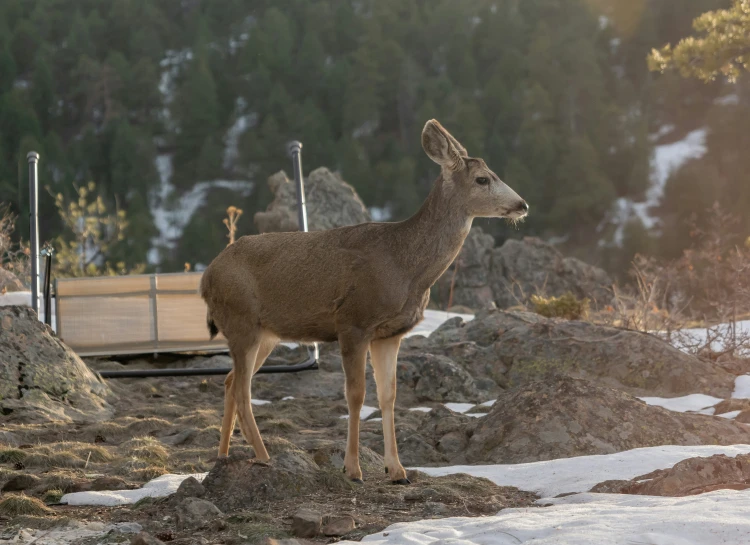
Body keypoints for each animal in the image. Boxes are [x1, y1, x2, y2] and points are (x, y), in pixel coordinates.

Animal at [200, 119, 528, 484]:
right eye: (483, 178)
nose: (522, 205)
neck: (404, 266)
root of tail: (207, 275)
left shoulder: (389, 333)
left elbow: (389, 396)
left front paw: (397, 470)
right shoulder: (353, 321)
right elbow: (356, 395)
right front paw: (353, 468)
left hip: (266, 333)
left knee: (230, 382)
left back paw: (223, 455)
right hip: (241, 321)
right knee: (243, 390)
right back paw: (263, 456)